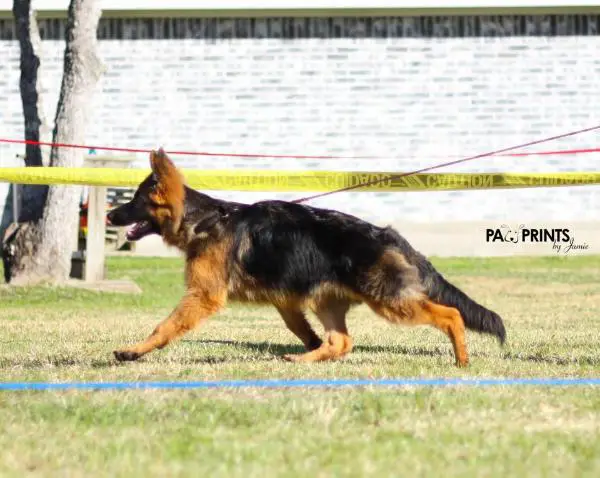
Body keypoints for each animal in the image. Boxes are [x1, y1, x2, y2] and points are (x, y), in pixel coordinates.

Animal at [105, 149, 504, 366]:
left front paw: (133, 352)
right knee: (341, 341)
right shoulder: (287, 301)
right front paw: (310, 348)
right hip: (327, 301)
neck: (204, 221)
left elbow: (164, 327)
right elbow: (303, 331)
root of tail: (387, 234)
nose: (108, 215)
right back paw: (305, 359)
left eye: (135, 200)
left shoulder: (202, 298)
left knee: (451, 315)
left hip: (390, 302)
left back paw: (462, 359)